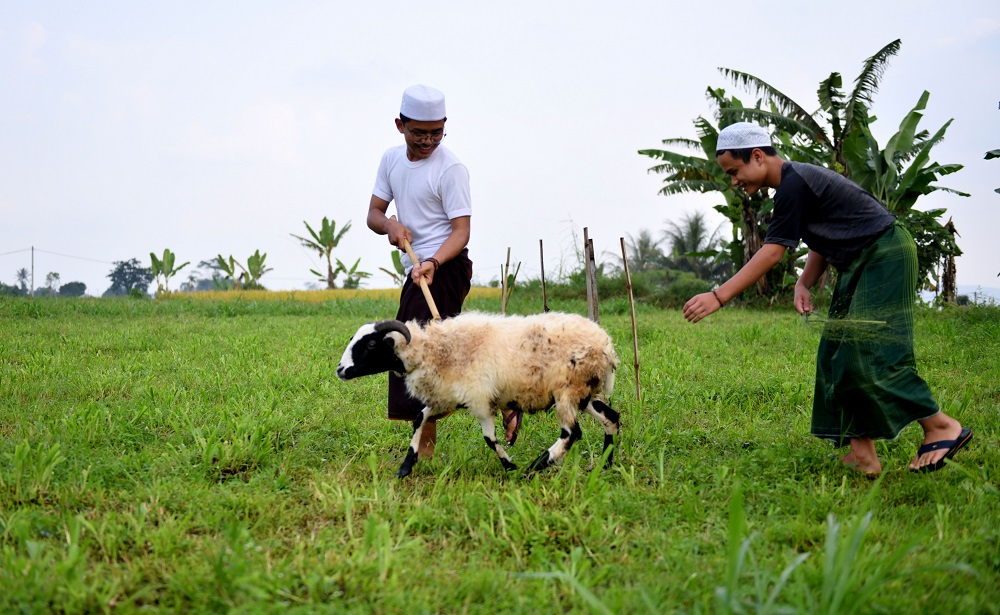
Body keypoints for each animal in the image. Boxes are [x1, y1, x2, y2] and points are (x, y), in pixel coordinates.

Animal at [336, 310, 616, 478]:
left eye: (372, 344)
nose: (340, 370)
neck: (432, 351)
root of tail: (607, 346)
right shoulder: (446, 397)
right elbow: (418, 419)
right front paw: (406, 465)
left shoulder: (480, 400)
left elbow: (489, 439)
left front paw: (510, 465)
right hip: (583, 393)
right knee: (611, 418)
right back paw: (607, 463)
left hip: (567, 390)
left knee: (572, 433)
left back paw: (535, 466)